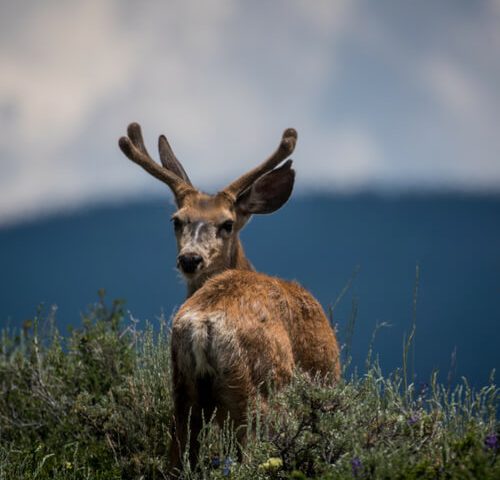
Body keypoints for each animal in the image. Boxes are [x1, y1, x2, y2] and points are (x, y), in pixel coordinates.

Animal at [119, 121, 342, 472]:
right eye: (177, 220)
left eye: (227, 223)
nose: (190, 259)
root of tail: (203, 325)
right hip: (258, 390)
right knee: (252, 456)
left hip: (182, 389)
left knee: (177, 458)